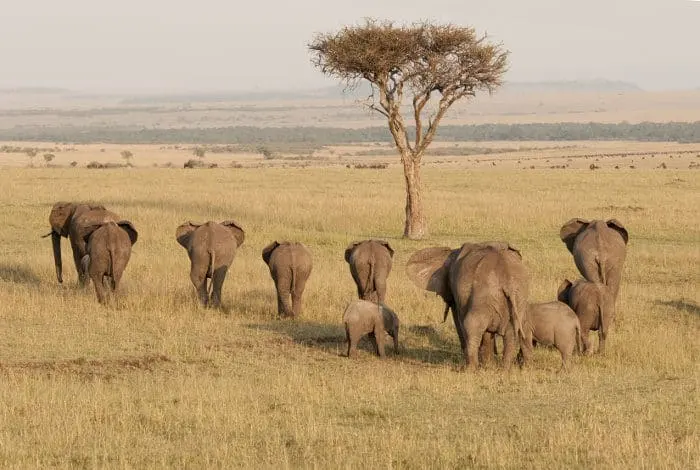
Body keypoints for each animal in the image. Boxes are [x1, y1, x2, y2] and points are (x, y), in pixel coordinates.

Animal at [406, 241, 530, 370]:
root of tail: (508, 279)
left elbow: (460, 321)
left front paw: (485, 365)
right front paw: (488, 365)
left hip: (487, 296)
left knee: (472, 325)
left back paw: (470, 369)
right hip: (519, 296)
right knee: (513, 332)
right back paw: (506, 369)